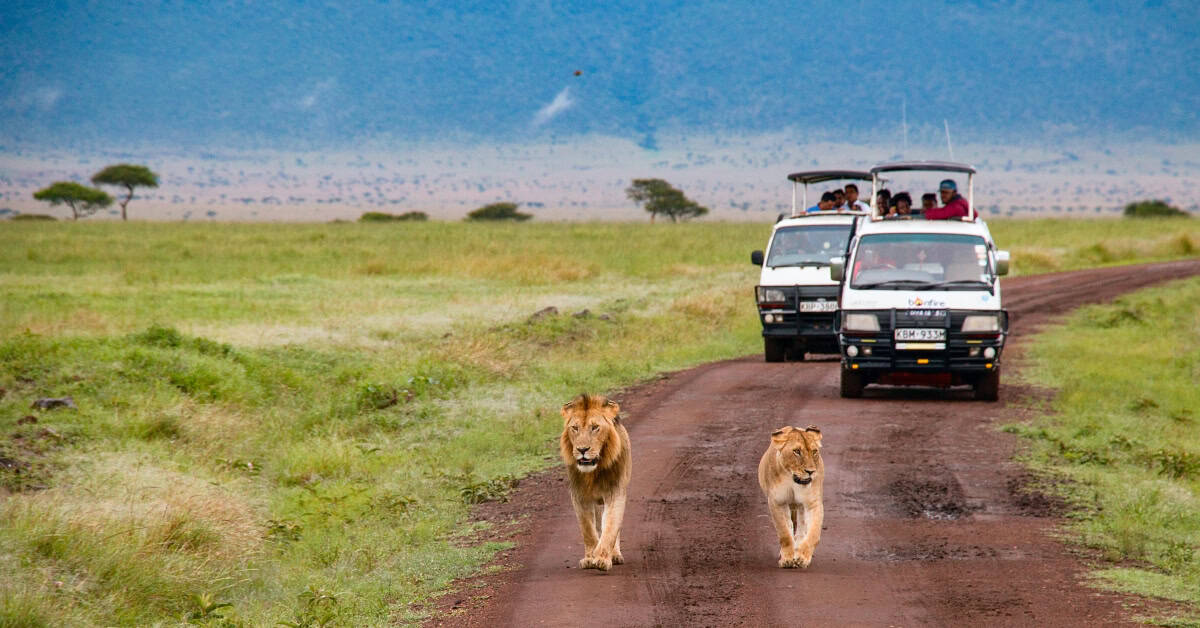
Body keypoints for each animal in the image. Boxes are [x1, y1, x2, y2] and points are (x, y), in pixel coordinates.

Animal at [560, 393, 631, 571]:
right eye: (575, 428)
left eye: (595, 427)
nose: (582, 450)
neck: (593, 473)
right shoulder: (579, 497)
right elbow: (588, 530)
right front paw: (590, 558)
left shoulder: (615, 494)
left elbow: (611, 527)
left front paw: (603, 559)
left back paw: (615, 555)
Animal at [757, 425, 824, 568]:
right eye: (797, 451)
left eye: (814, 451)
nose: (811, 471)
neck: (793, 480)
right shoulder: (777, 502)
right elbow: (784, 533)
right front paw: (787, 559)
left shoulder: (813, 503)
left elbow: (813, 533)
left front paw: (802, 557)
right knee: (790, 525)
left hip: (800, 506)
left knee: (801, 527)